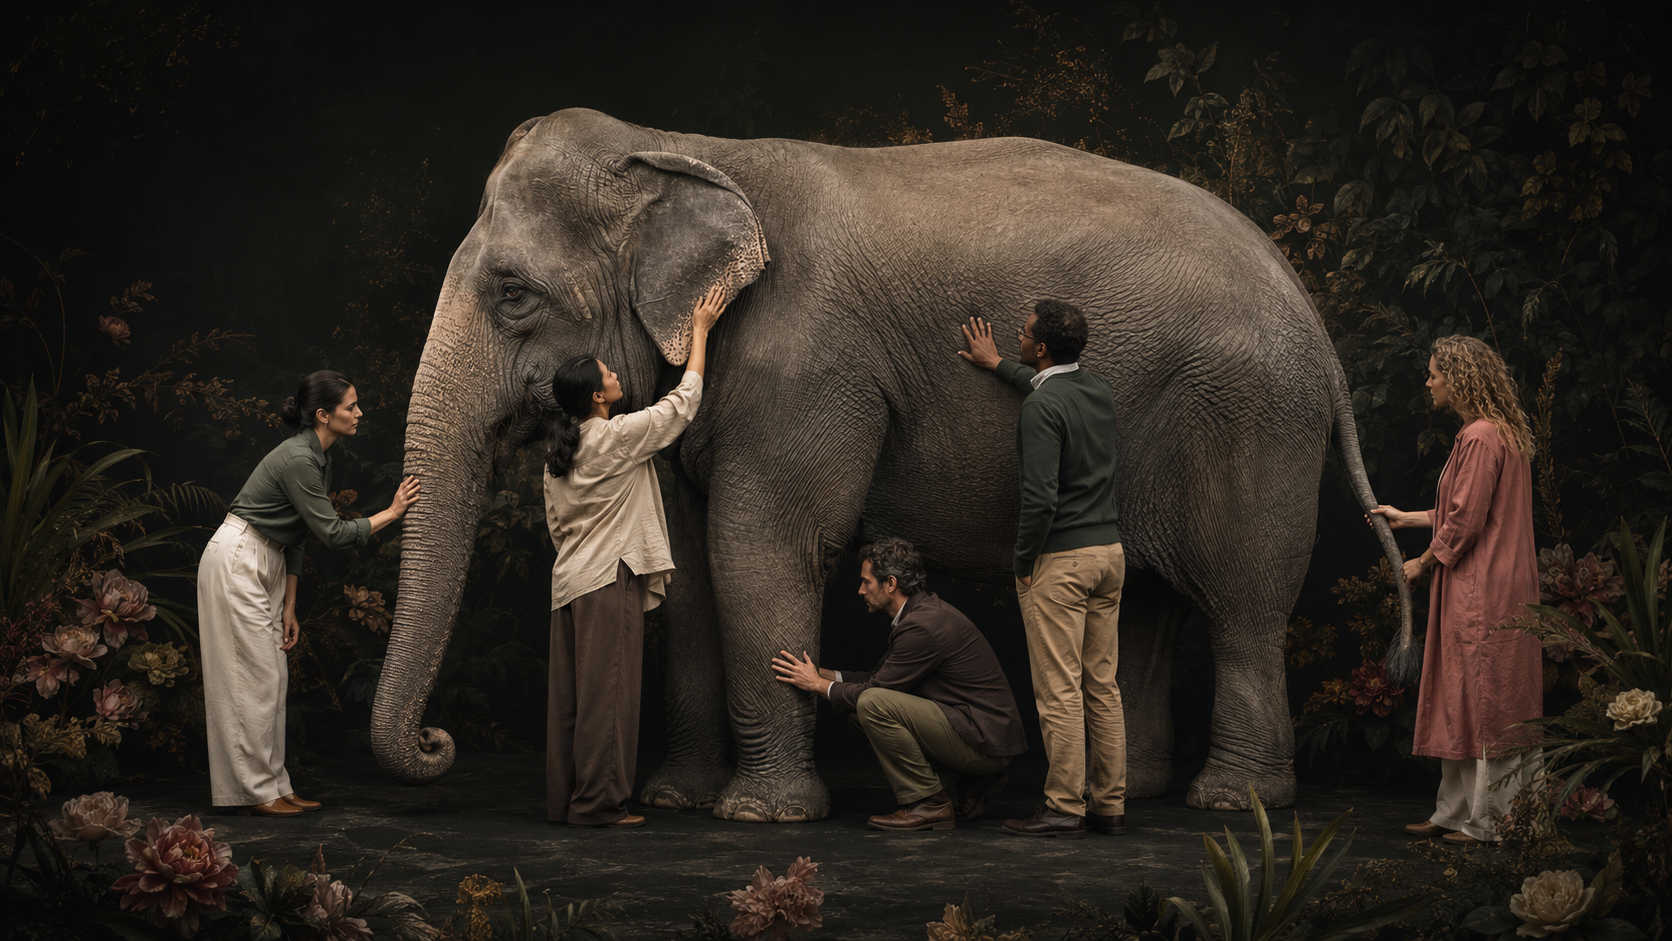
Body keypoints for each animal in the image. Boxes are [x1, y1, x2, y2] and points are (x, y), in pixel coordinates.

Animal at [369, 107, 1411, 820]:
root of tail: (1311, 315)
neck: (675, 146)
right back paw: (1142, 789)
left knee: (1242, 602)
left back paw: (1232, 802)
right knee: (1149, 598)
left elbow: (762, 544)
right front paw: (676, 801)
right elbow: (693, 559)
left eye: (512, 294)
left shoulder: (809, 364)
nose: (437, 740)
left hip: (1245, 416)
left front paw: (760, 817)